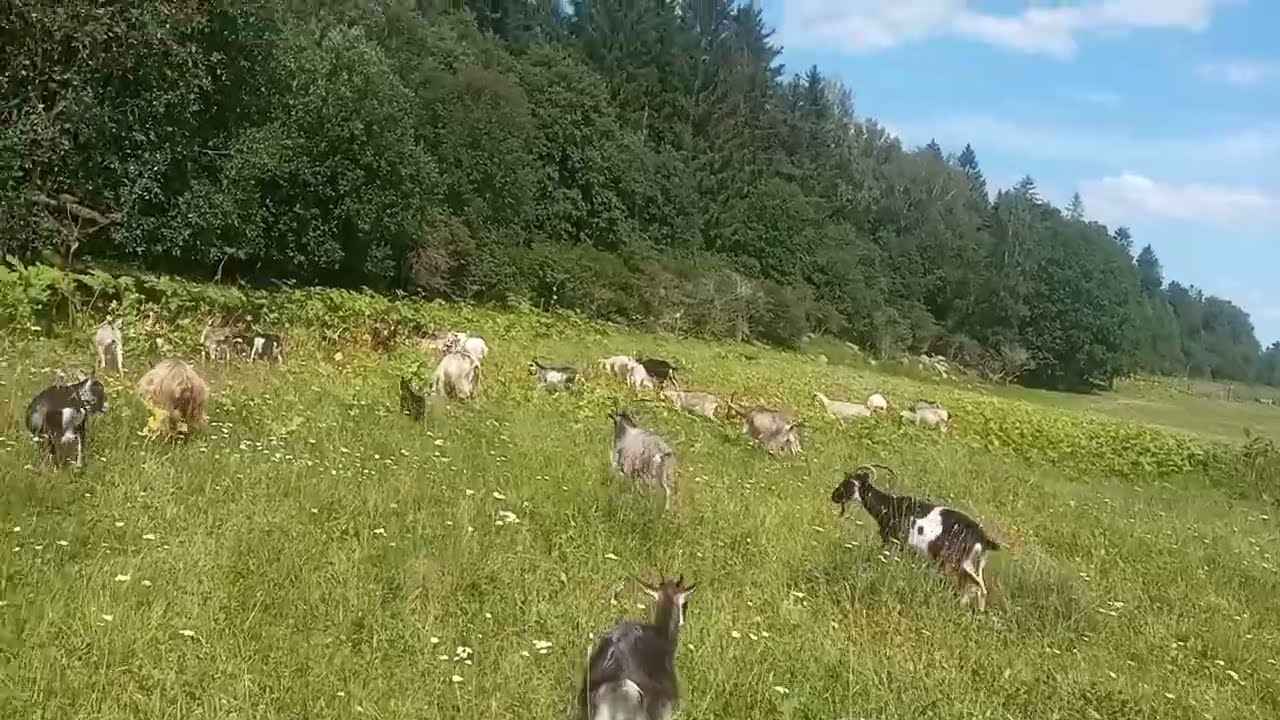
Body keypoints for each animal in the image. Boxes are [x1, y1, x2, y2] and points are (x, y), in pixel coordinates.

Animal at [831, 465, 1000, 611]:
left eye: (851, 483)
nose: (834, 496)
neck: (890, 506)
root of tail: (982, 538)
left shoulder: (893, 542)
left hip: (957, 562)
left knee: (977, 587)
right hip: (974, 563)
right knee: (975, 587)